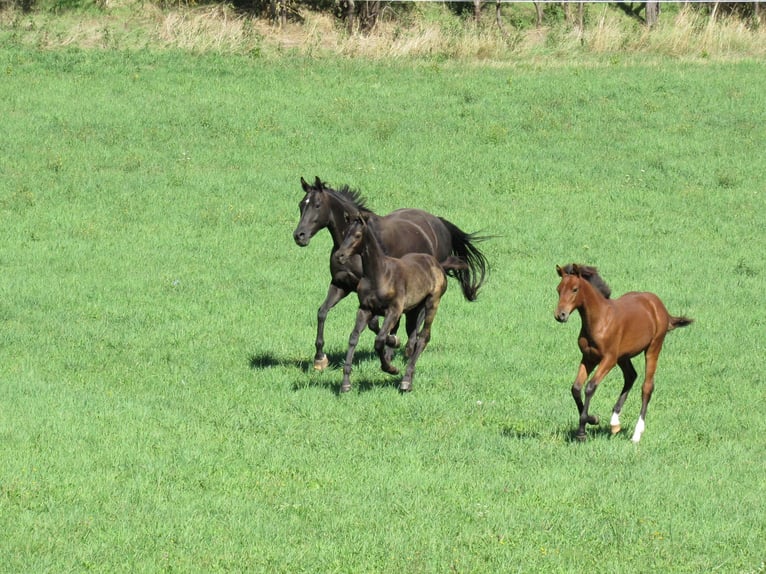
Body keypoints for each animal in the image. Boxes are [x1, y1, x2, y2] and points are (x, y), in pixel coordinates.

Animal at [293, 176, 488, 371]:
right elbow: (322, 312)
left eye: (317, 205)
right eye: (301, 204)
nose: (299, 236)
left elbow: (375, 324)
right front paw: (320, 358)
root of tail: (440, 223)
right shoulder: (341, 284)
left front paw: (392, 341)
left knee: (418, 316)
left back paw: (406, 348)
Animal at [335, 212, 468, 392]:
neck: (379, 275)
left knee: (423, 337)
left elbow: (379, 341)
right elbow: (353, 338)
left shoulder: (394, 310)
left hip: (432, 303)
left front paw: (391, 368)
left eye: (357, 235)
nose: (339, 255)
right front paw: (346, 383)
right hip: (413, 310)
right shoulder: (365, 309)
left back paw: (406, 381)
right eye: (344, 233)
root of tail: (438, 264)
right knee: (412, 338)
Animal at [554, 264, 693, 443]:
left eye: (575, 289)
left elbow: (590, 387)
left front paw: (582, 430)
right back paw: (615, 423)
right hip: (624, 356)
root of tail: (658, 305)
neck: (600, 320)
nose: (560, 315)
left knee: (647, 387)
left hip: (653, 348)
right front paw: (592, 420)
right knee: (631, 376)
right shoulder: (589, 358)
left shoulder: (609, 359)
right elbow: (576, 388)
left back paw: (636, 434)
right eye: (558, 289)